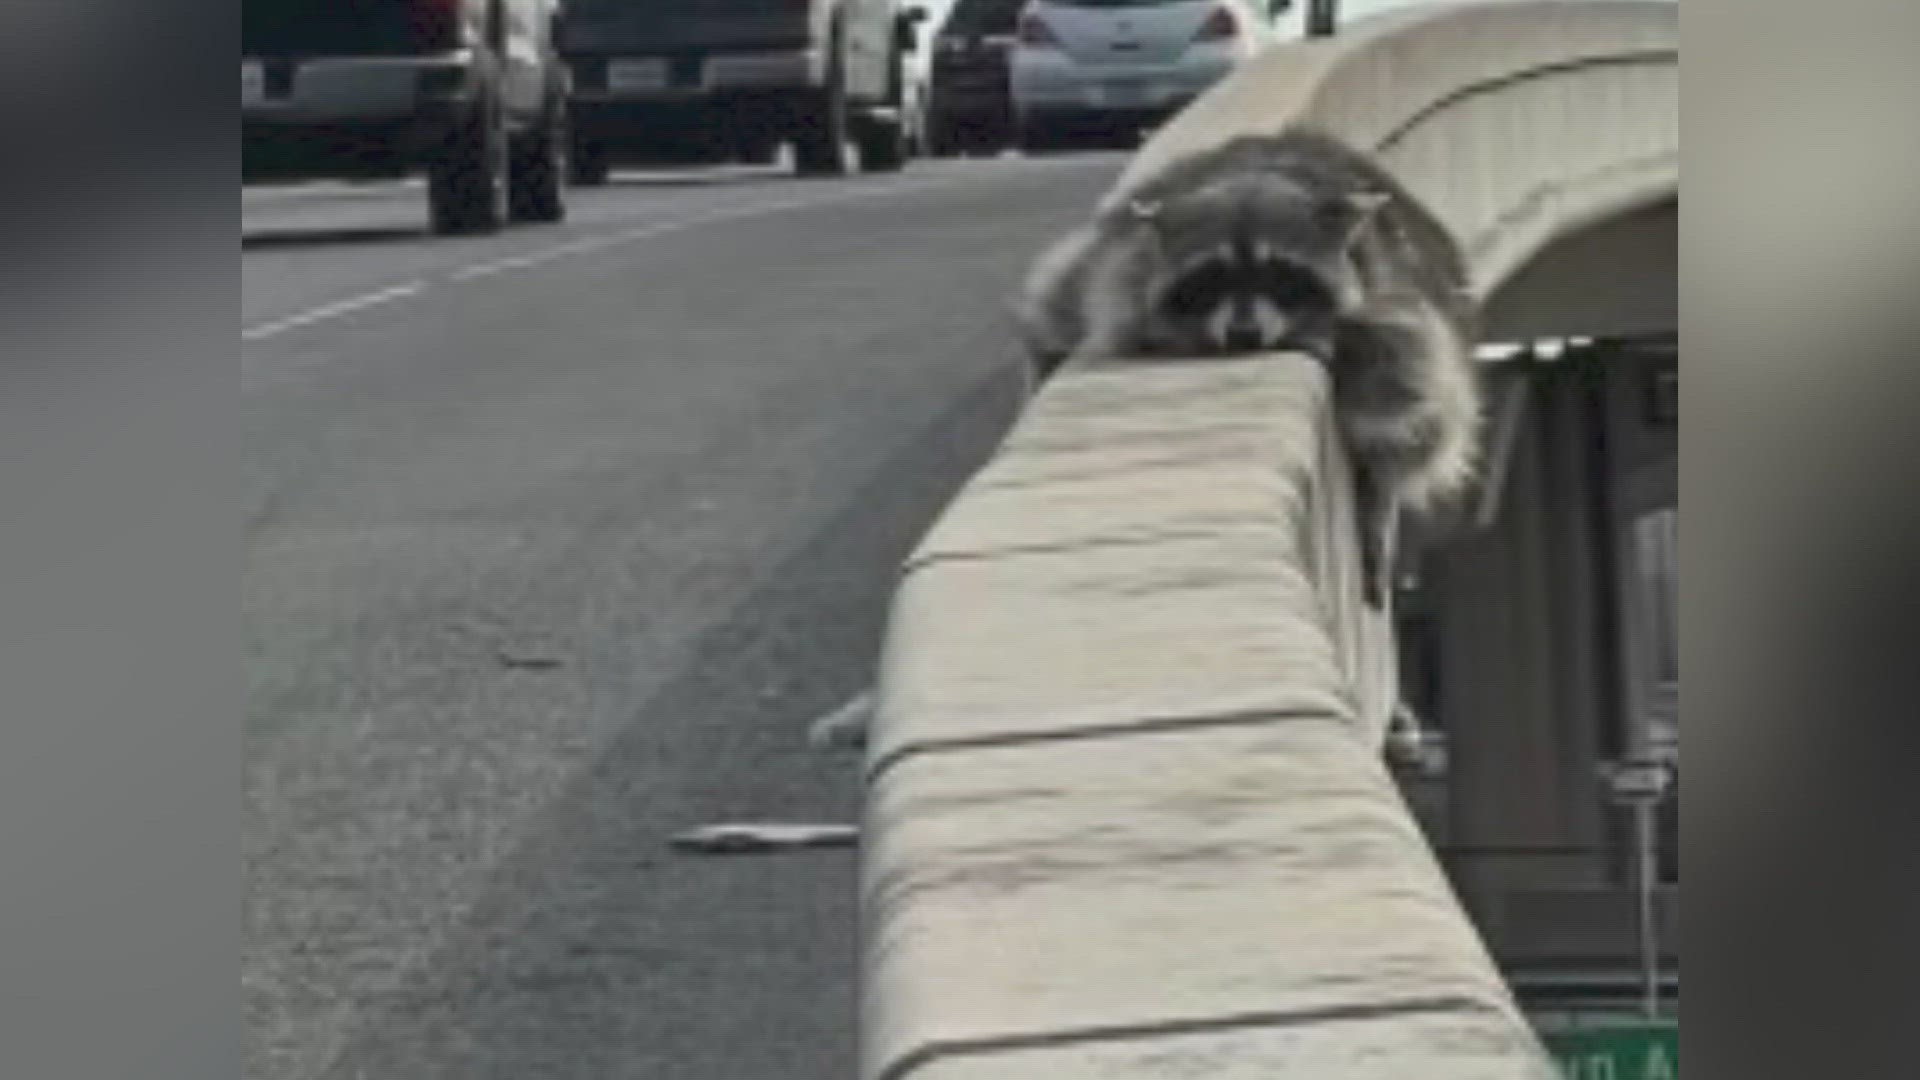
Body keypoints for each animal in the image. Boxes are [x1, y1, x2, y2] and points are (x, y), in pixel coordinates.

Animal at [1021, 130, 1482, 599]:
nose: (1243, 334)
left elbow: (1404, 387)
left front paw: (1332, 339)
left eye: (1278, 275)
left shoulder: (1394, 291)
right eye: (1212, 278)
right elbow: (1124, 319)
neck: (1255, 177)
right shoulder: (1126, 268)